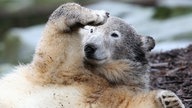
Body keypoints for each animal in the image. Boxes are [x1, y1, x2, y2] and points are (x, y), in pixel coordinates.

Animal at [0, 2, 184, 108]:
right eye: (91, 31)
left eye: (114, 35)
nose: (89, 47)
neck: (101, 74)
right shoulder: (62, 72)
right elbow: (56, 50)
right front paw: (96, 14)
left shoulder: (111, 94)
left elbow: (129, 103)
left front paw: (170, 100)